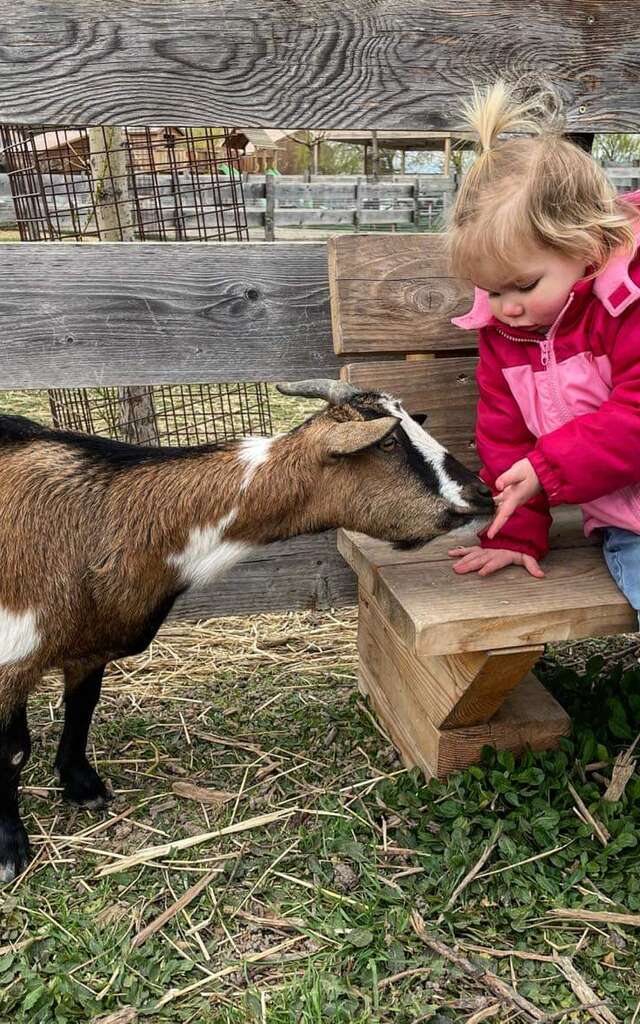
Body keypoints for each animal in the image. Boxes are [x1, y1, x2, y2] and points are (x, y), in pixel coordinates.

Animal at [0, 378, 493, 880]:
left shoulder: (90, 643)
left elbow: (81, 709)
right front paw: (9, 849)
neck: (102, 519)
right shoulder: (11, 658)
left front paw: (82, 786)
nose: (483, 493)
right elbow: (14, 750)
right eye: (389, 442)